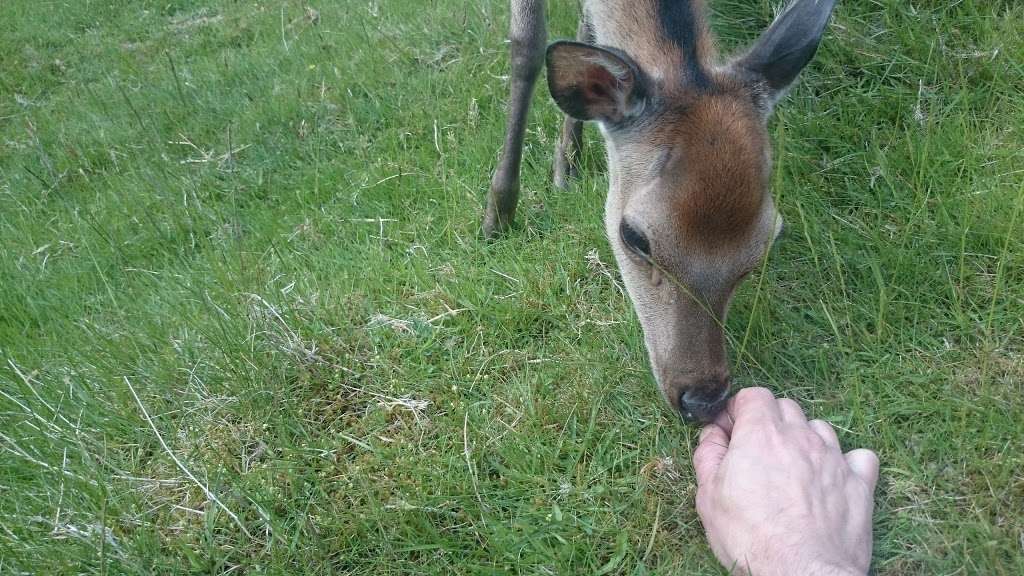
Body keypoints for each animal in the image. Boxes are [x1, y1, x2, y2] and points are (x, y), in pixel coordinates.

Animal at [483, 1, 835, 422]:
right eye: (634, 237)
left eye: (766, 245)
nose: (703, 400)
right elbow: (527, 44)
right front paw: (498, 213)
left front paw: (563, 161)